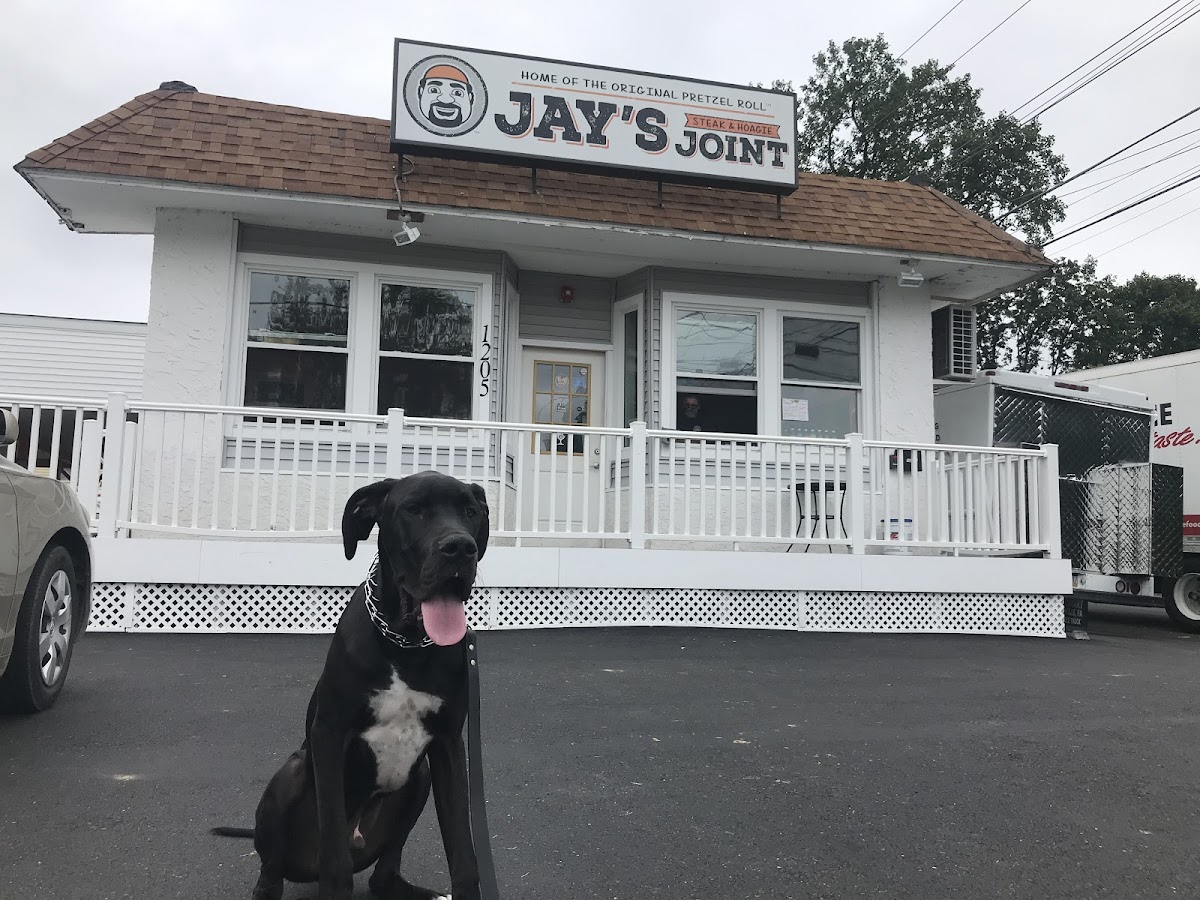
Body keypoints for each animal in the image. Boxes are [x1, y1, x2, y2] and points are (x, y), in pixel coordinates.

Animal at [214, 472, 487, 900]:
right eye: (413, 509)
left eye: (471, 511)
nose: (460, 547)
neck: (405, 644)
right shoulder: (329, 734)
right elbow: (335, 857)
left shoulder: (447, 744)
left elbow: (463, 850)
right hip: (293, 773)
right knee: (272, 869)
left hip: (419, 779)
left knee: (382, 873)